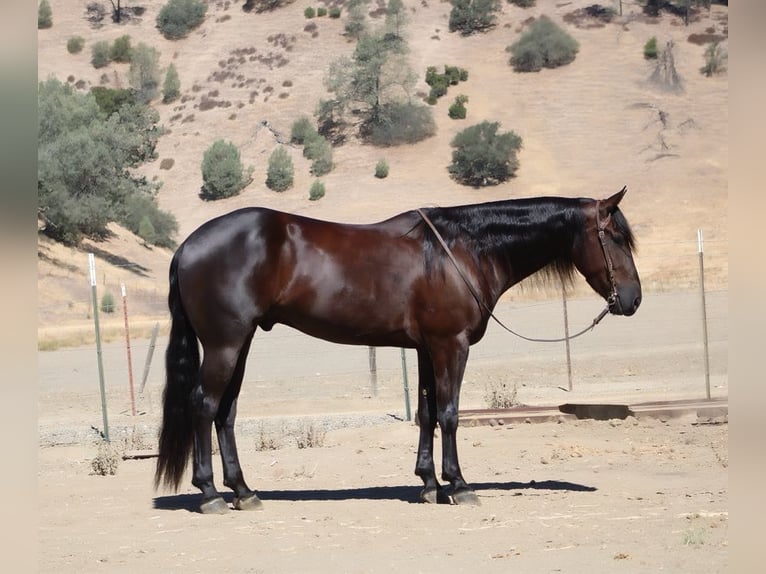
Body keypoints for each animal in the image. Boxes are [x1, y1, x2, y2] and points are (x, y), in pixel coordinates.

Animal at [154, 187, 641, 513]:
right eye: (616, 237)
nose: (633, 300)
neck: (462, 250)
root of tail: (188, 246)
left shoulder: (427, 349)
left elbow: (427, 413)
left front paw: (428, 484)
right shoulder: (451, 346)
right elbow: (450, 413)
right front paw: (458, 485)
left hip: (241, 342)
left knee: (226, 412)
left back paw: (244, 492)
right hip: (225, 343)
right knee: (204, 406)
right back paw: (211, 494)